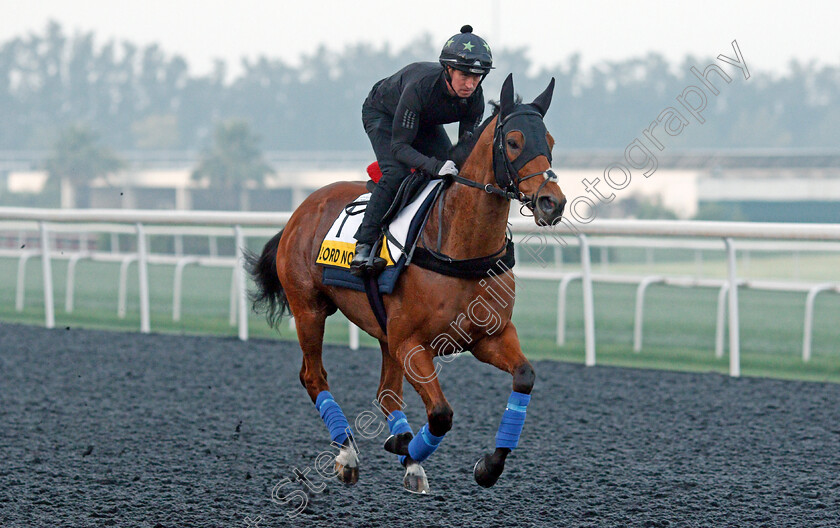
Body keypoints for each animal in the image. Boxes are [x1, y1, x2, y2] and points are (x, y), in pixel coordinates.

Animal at [246, 74, 568, 496]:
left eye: (550, 142)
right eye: (513, 142)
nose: (552, 202)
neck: (458, 248)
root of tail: (302, 207)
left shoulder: (489, 336)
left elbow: (524, 377)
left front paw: (487, 466)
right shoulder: (412, 344)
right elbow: (441, 414)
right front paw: (405, 449)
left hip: (384, 332)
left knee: (387, 394)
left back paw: (404, 451)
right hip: (309, 309)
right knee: (314, 376)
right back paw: (348, 455)